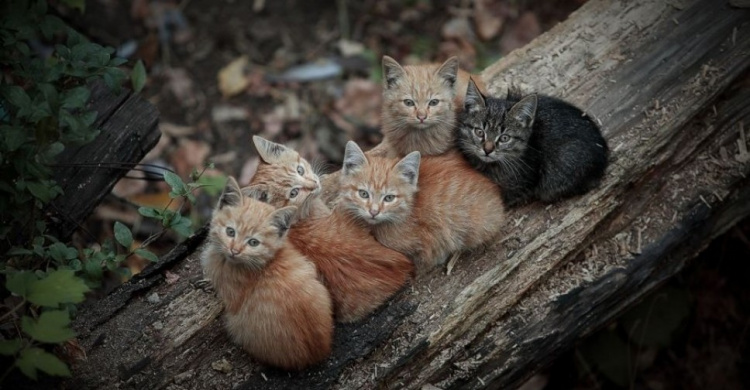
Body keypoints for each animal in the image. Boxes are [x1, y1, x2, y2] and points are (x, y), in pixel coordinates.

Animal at [201, 178, 334, 370]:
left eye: (253, 242)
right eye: (230, 232)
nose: (234, 250)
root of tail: (317, 354)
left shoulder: (231, 299)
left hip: (237, 326)